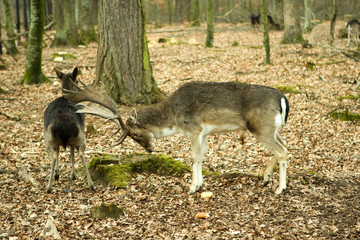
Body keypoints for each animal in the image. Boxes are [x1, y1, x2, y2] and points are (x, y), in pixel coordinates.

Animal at [63, 81, 290, 195]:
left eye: (135, 133)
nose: (149, 149)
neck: (174, 116)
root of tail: (283, 98)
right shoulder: (204, 132)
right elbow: (201, 158)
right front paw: (199, 185)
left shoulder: (194, 129)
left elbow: (193, 157)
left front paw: (192, 188)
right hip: (271, 129)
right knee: (285, 147)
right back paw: (265, 178)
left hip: (262, 128)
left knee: (282, 151)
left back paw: (280, 189)